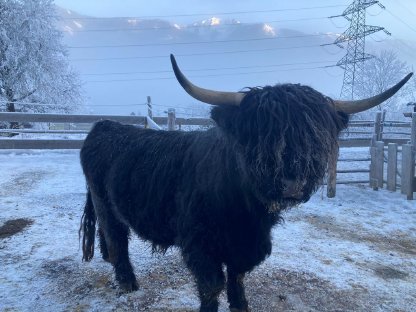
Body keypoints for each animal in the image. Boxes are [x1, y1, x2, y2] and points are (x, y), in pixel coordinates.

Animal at [80, 54, 412, 310]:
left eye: (314, 136)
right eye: (259, 135)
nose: (292, 182)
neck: (245, 213)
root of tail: (105, 126)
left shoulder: (246, 247)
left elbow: (237, 283)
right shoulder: (200, 245)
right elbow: (212, 287)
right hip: (105, 202)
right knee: (117, 238)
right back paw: (128, 283)